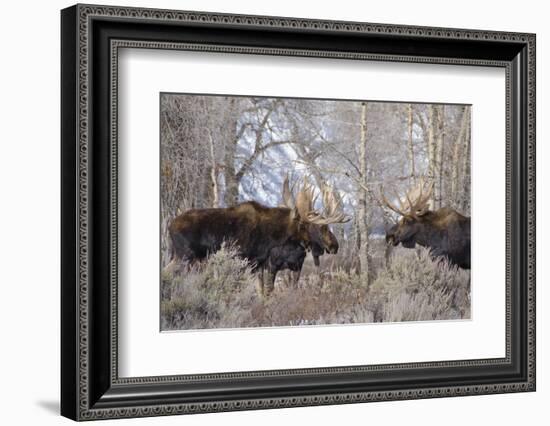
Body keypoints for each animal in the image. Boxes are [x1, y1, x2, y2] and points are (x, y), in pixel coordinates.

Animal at [168, 176, 350, 296]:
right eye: (321, 226)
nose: (335, 245)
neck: (272, 236)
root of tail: (170, 226)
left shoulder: (259, 264)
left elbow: (262, 292)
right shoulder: (250, 262)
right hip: (185, 257)